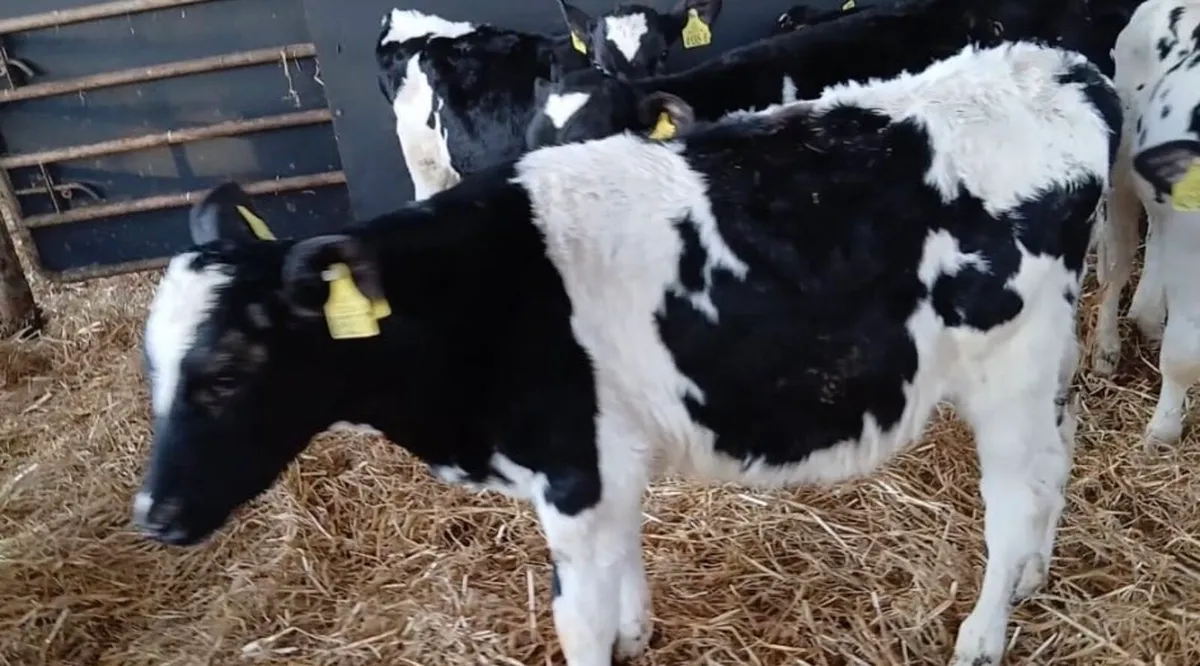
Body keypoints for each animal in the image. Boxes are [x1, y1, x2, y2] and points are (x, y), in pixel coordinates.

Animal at [131, 41, 1119, 666]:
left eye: (226, 373)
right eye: (154, 369)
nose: (153, 515)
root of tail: (1056, 67)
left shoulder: (571, 473)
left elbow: (579, 619)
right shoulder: (610, 461)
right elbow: (624, 571)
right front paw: (641, 632)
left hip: (1011, 364)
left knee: (1009, 499)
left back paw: (984, 633)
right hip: (1051, 359)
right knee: (1056, 460)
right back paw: (1034, 578)